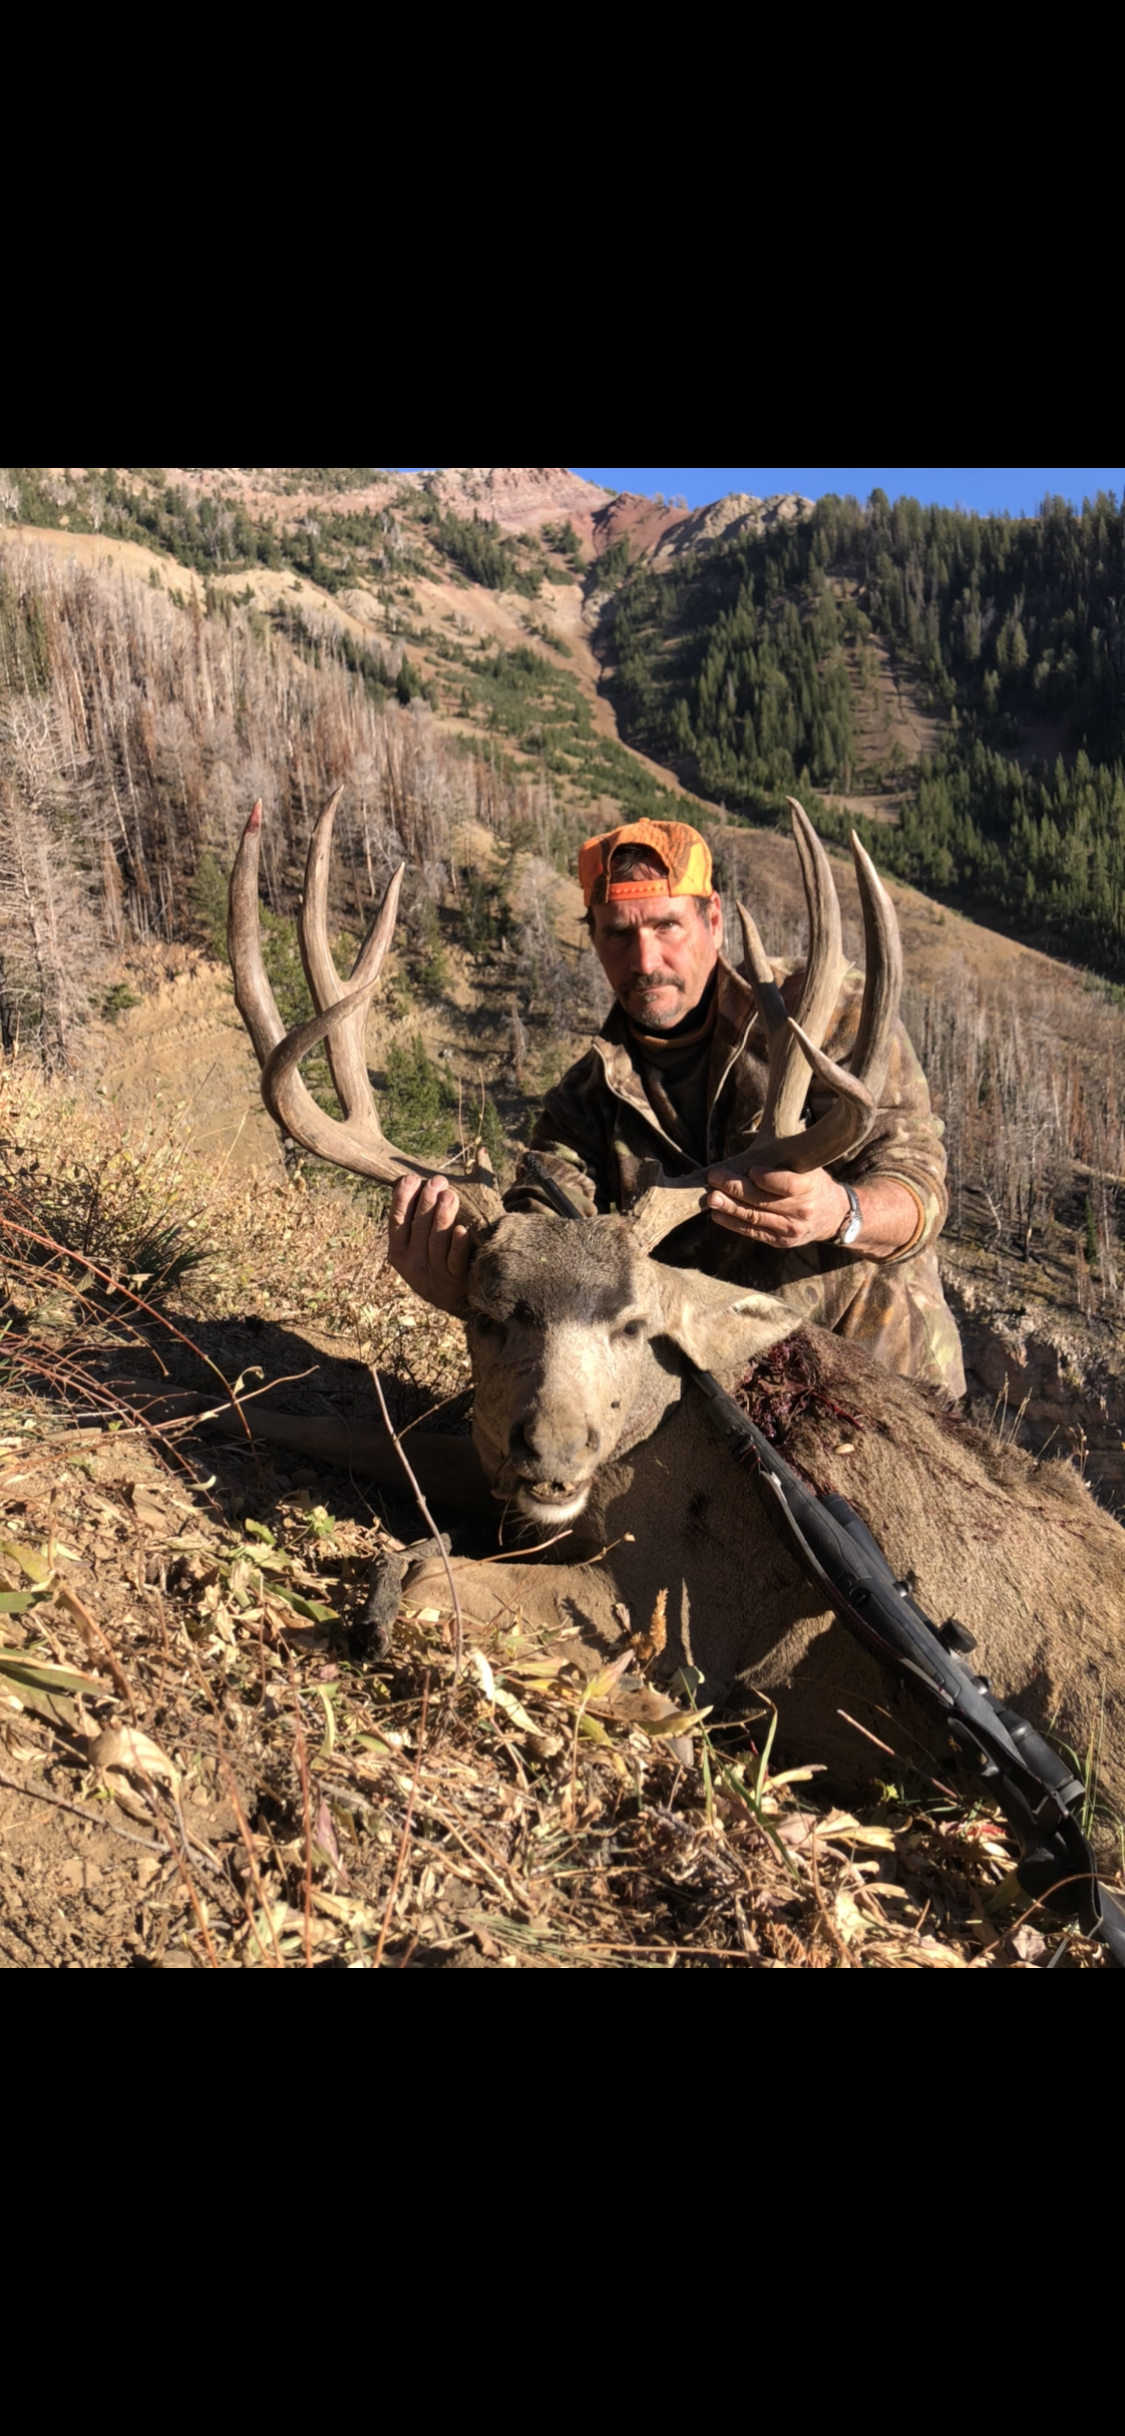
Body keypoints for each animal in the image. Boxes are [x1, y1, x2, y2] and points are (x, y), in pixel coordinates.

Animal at [227, 794, 1125, 1844]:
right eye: (491, 1313)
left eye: (632, 1324)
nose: (552, 1454)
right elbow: (345, 1429)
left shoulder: (656, 1609)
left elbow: (425, 1583)